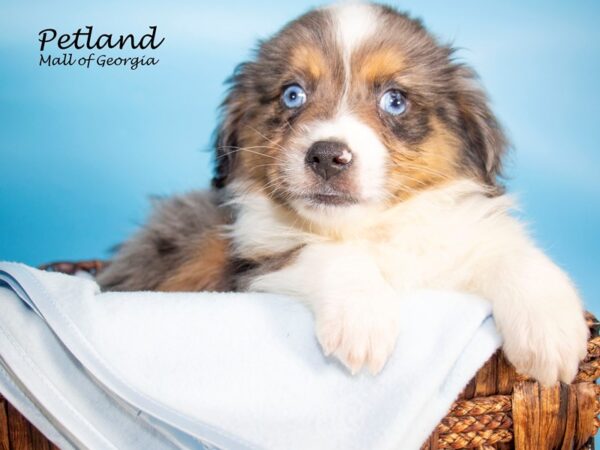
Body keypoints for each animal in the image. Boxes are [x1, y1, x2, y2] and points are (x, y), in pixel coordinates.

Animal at [96, 1, 588, 384]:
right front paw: (363, 320)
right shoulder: (255, 260)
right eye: (293, 95)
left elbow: (510, 251)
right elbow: (322, 253)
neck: (371, 231)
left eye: (395, 100)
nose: (328, 156)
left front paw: (553, 333)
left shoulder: (456, 242)